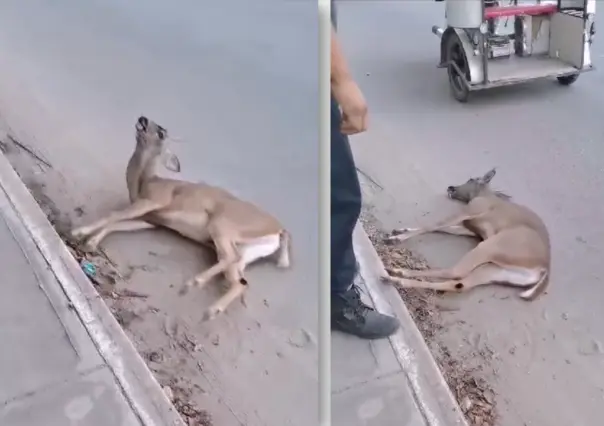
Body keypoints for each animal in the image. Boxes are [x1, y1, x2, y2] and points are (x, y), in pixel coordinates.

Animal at [71, 115, 292, 320]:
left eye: (161, 133)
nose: (143, 118)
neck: (144, 183)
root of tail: (279, 230)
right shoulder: (151, 220)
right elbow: (118, 224)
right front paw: (90, 242)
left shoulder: (154, 201)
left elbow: (115, 214)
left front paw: (79, 232)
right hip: (246, 251)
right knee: (241, 280)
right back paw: (209, 311)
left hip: (222, 225)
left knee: (231, 258)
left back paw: (191, 285)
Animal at [382, 168, 552, 302]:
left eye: (471, 179)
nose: (451, 187)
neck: (485, 195)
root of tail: (544, 269)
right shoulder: (471, 229)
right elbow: (444, 228)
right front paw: (401, 230)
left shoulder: (469, 211)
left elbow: (436, 224)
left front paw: (396, 238)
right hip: (496, 270)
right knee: (460, 284)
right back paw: (397, 278)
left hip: (489, 247)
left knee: (455, 271)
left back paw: (396, 273)